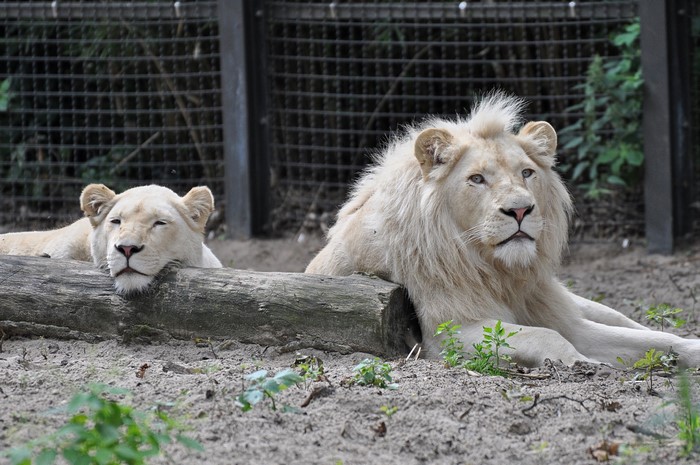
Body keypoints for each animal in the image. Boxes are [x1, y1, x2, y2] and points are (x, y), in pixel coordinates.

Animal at [306, 93, 700, 367]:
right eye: (477, 179)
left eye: (526, 172)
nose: (521, 210)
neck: (500, 272)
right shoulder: (448, 332)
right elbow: (547, 336)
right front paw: (584, 363)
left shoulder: (561, 316)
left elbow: (650, 341)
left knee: (627, 320)